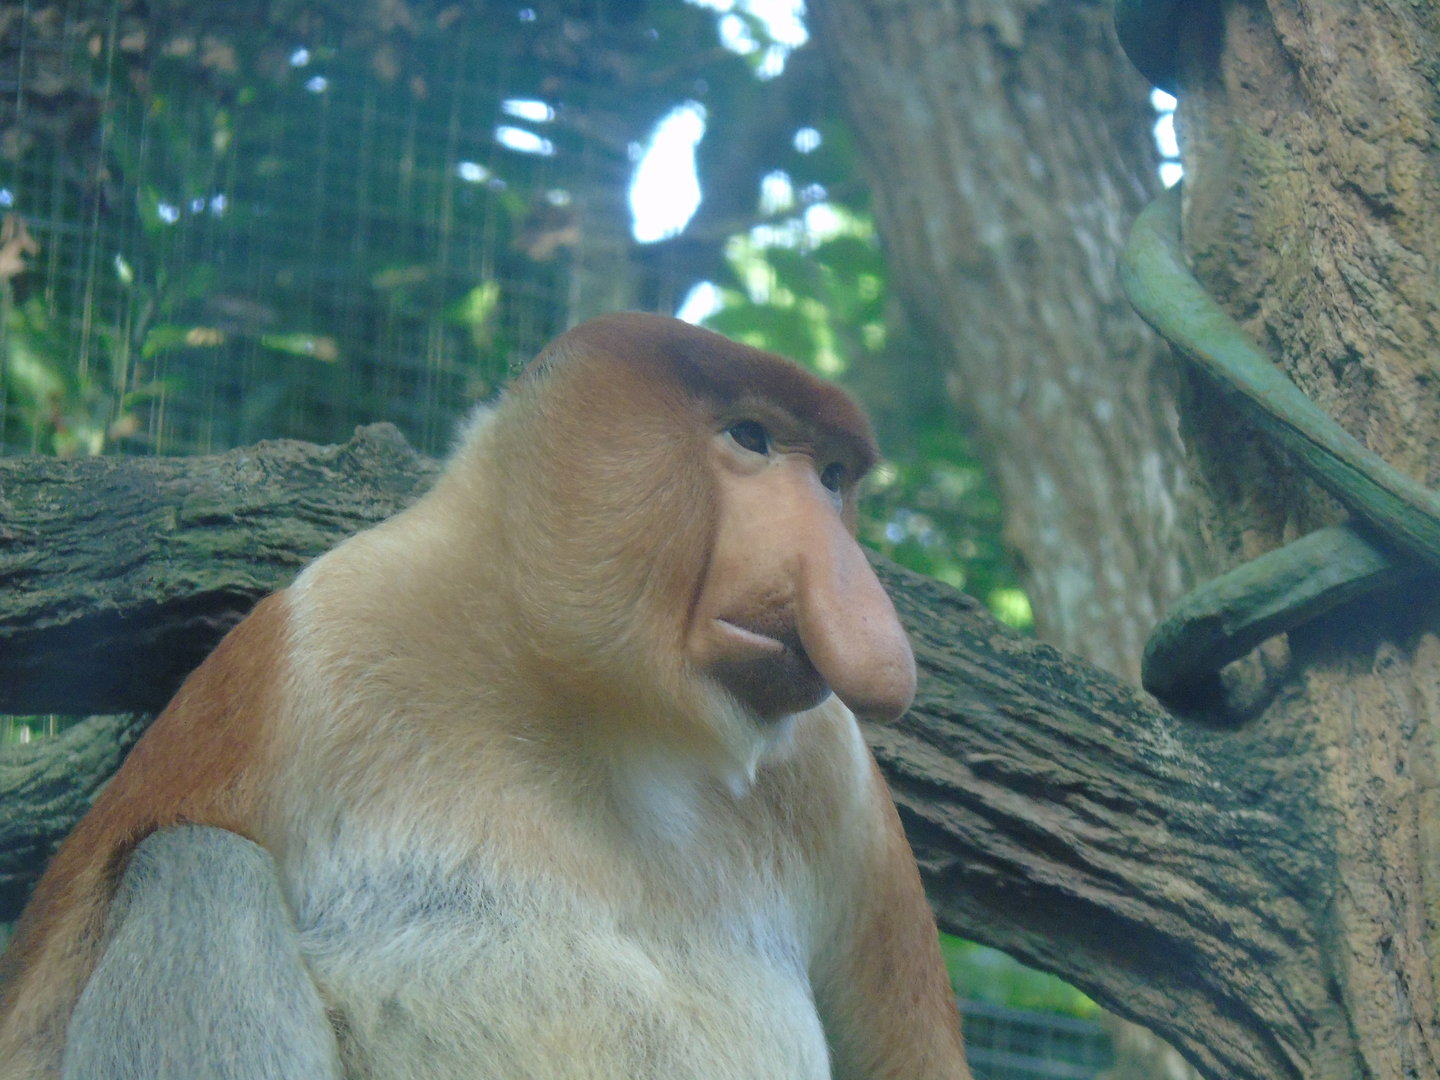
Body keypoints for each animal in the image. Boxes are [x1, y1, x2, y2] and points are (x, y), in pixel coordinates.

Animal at [0, 312, 971, 1079]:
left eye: (834, 478)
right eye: (752, 438)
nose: (863, 618)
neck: (605, 719)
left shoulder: (837, 776)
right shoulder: (302, 649)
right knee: (194, 865)